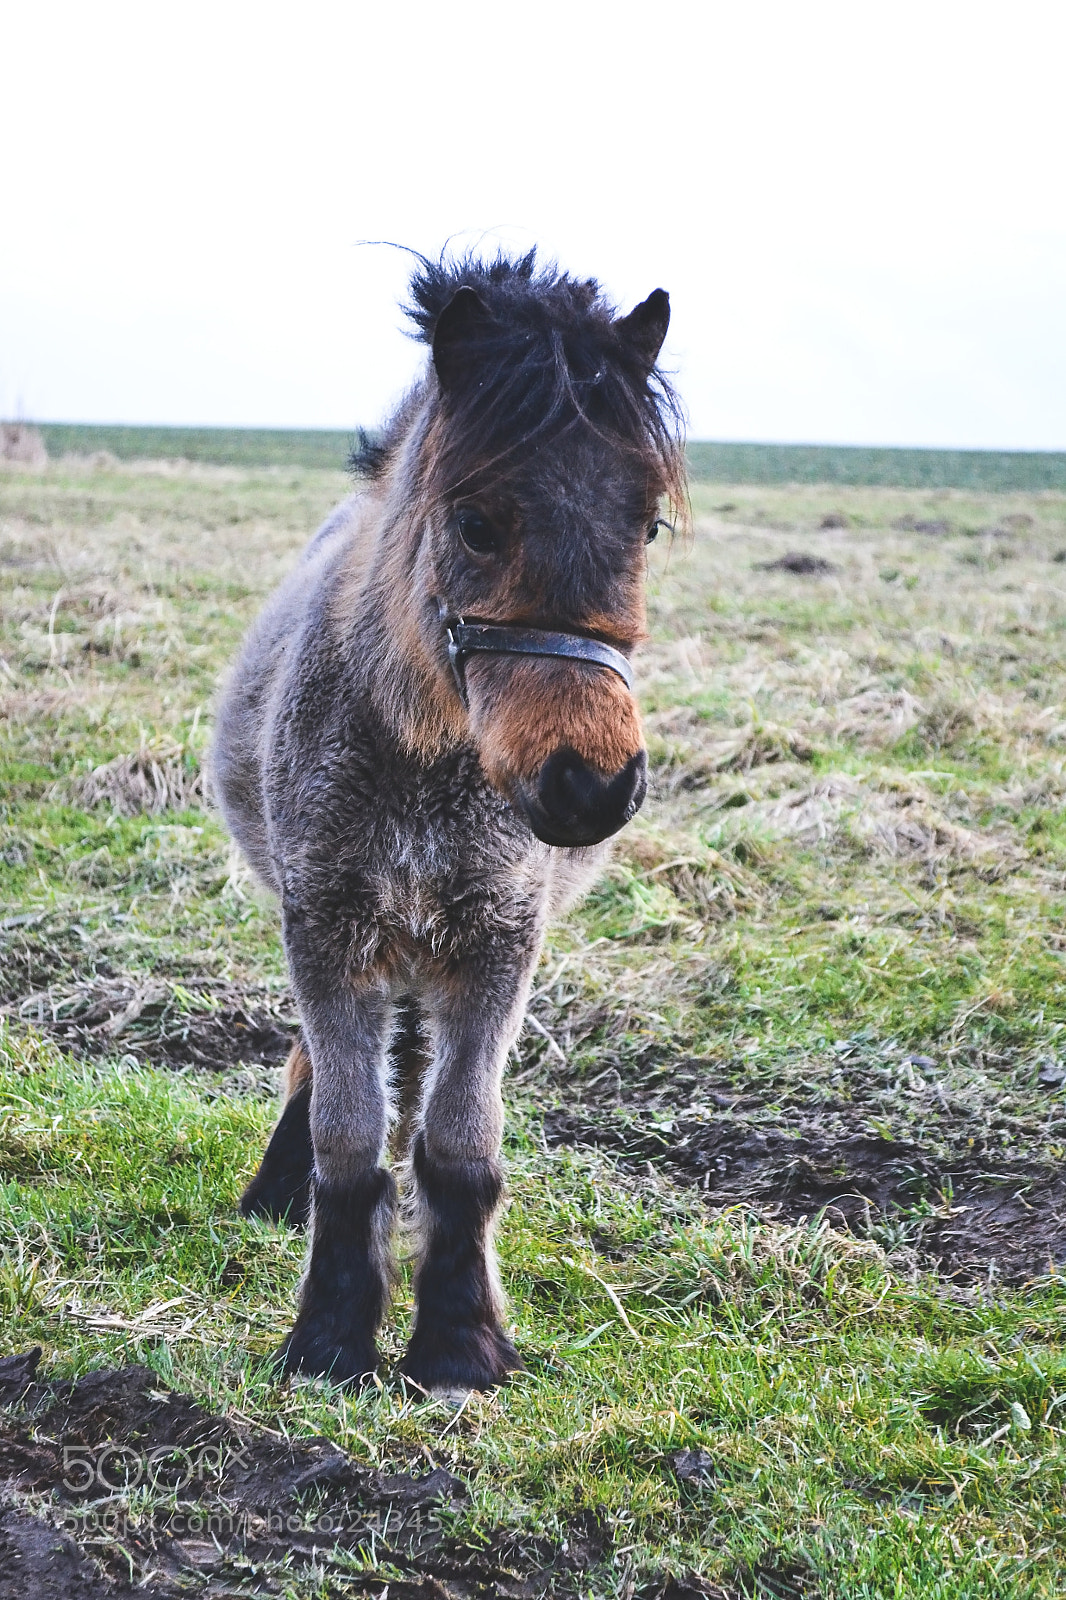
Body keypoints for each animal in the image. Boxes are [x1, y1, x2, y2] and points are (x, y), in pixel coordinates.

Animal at [211, 249, 686, 1393]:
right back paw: (276, 1191)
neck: (425, 751)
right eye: (475, 522)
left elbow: (460, 1142)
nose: (590, 785)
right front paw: (333, 1335)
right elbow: (348, 1133)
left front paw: (460, 1341)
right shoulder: (327, 931)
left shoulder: (496, 947)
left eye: (645, 524)